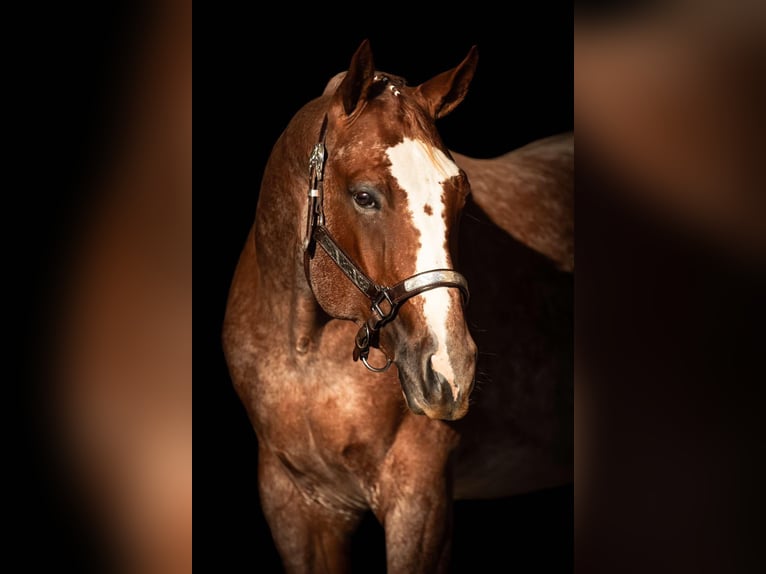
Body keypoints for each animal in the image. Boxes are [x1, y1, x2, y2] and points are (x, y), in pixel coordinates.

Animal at [223, 40, 573, 573]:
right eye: (364, 196)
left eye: (461, 195)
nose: (450, 369)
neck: (304, 352)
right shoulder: (296, 506)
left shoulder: (419, 500)